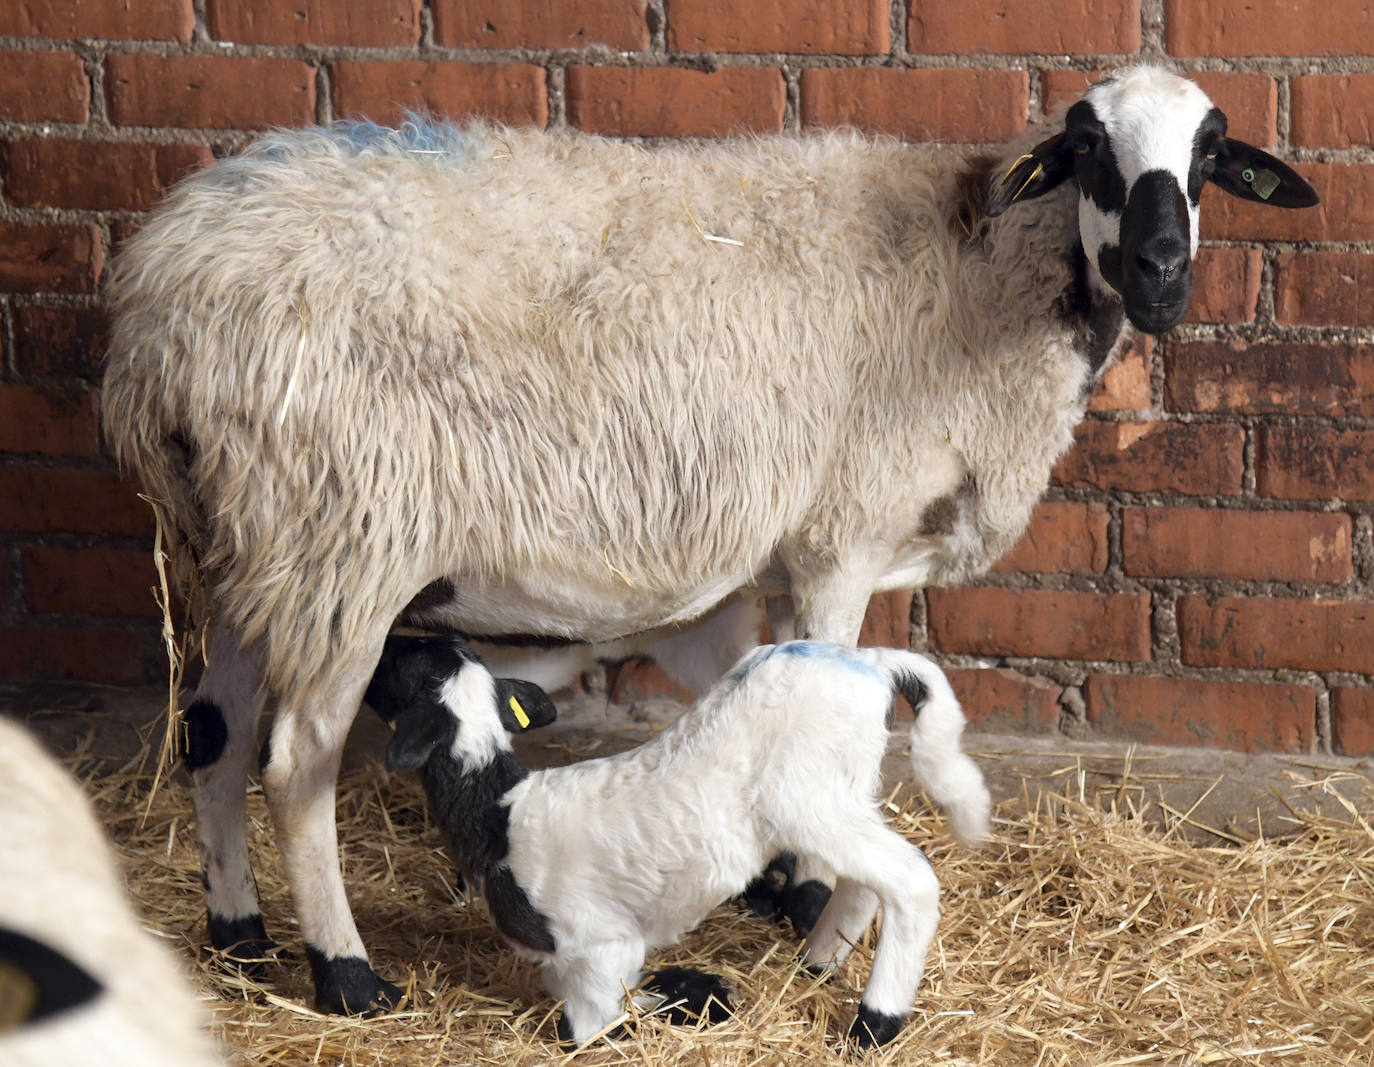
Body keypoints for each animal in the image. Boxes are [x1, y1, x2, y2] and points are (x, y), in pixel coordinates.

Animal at [365, 637, 989, 1043]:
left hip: (809, 798)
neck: (500, 817)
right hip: (848, 786)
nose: (381, 643)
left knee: (910, 877)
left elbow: (596, 1026)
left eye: (396, 666)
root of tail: (871, 662)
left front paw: (702, 997)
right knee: (865, 881)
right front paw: (703, 990)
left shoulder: (600, 949)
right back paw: (817, 964)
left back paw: (875, 1024)